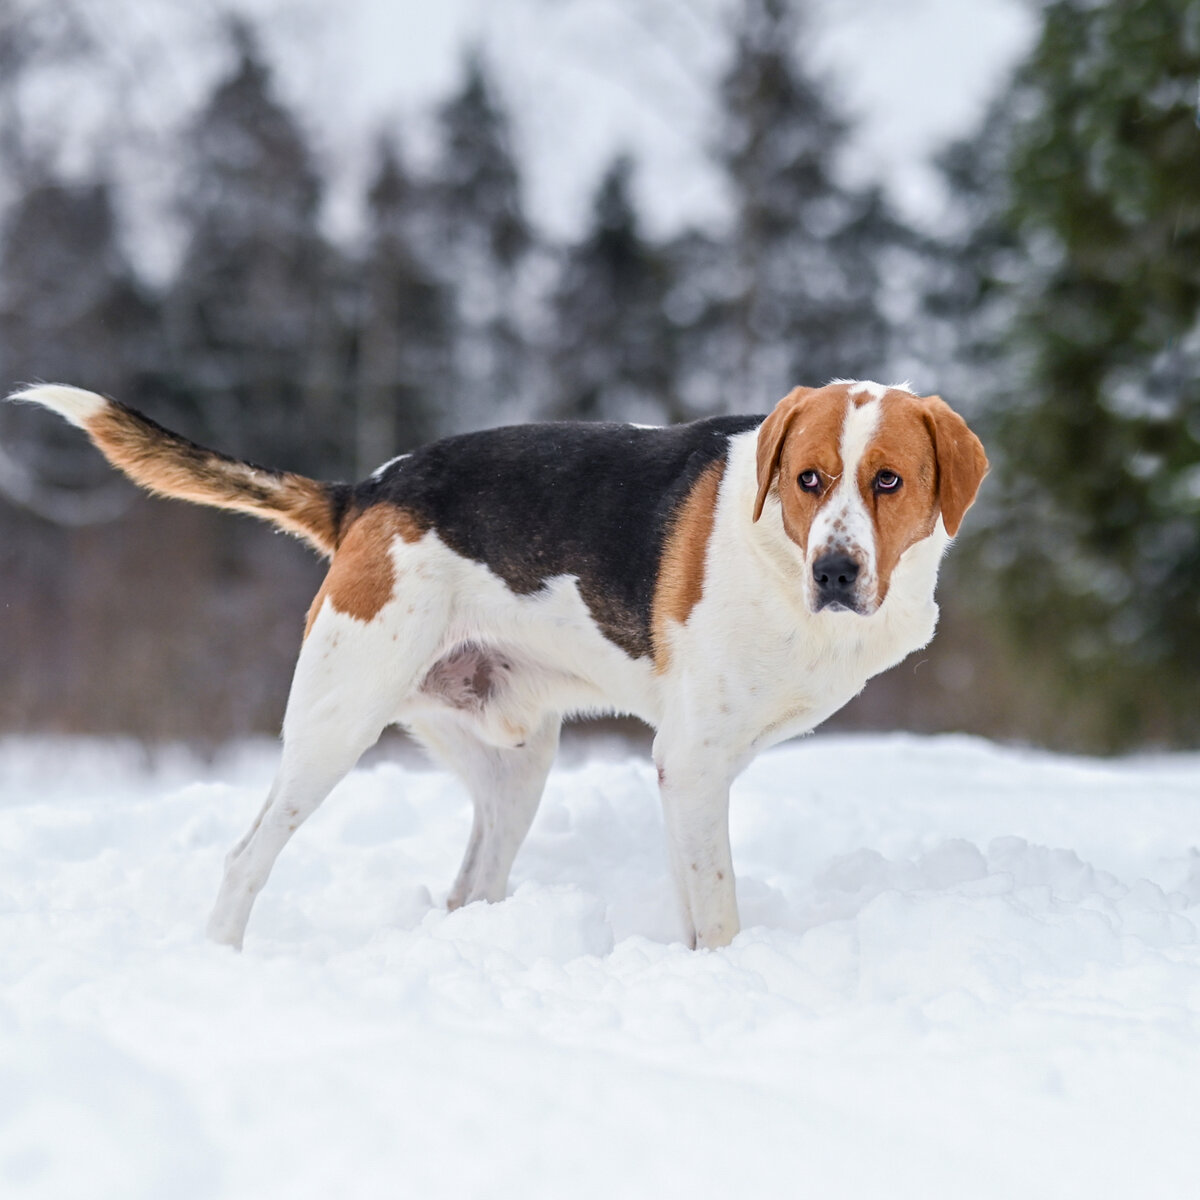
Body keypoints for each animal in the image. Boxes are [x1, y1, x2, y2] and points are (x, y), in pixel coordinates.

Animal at [9, 379, 984, 950]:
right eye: (809, 480)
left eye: (889, 480)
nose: (836, 572)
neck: (776, 557)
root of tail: (368, 491)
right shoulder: (692, 761)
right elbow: (718, 913)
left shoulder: (693, 777)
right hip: (335, 724)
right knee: (245, 858)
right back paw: (219, 959)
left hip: (517, 763)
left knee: (468, 887)